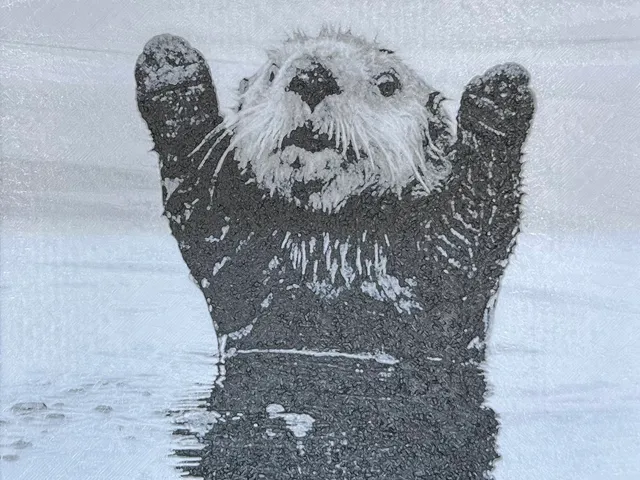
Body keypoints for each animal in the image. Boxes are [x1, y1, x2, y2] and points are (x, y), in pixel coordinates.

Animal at [135, 29, 534, 479]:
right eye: (272, 73)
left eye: (387, 83)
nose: (311, 75)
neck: (332, 247)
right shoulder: (232, 252)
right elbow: (195, 183)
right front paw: (169, 62)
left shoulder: (447, 277)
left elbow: (477, 216)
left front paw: (501, 92)